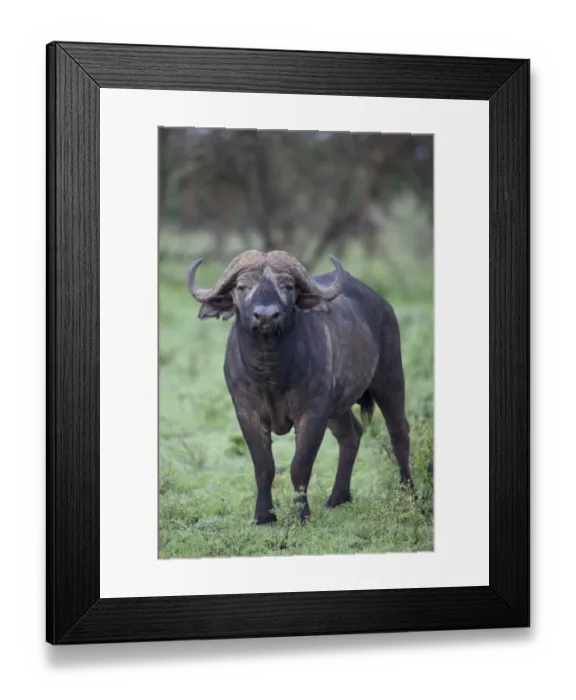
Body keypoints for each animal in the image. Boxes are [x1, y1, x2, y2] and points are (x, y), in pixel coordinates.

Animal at [186, 250, 413, 524]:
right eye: (241, 287)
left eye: (288, 286)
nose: (266, 316)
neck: (271, 373)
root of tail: (382, 305)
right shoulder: (247, 412)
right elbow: (264, 466)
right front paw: (263, 517)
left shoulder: (312, 414)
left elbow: (299, 466)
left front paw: (301, 515)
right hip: (338, 408)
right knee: (351, 434)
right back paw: (338, 498)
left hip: (390, 378)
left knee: (399, 432)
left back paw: (408, 493)